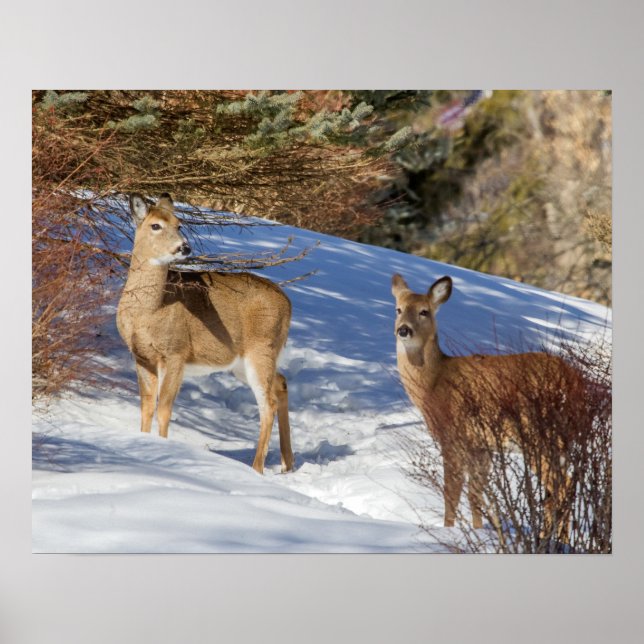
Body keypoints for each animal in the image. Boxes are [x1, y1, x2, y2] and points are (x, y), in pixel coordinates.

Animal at [116, 193, 294, 475]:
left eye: (179, 224)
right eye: (155, 225)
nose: (184, 247)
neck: (150, 311)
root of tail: (288, 303)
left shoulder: (176, 353)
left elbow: (164, 409)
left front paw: (165, 449)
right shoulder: (142, 356)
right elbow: (146, 407)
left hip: (261, 349)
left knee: (268, 404)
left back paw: (256, 469)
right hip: (244, 363)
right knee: (281, 383)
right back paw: (288, 463)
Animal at [391, 273, 584, 542]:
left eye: (424, 312)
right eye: (398, 309)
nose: (403, 330)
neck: (432, 386)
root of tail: (575, 382)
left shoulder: (453, 437)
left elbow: (451, 495)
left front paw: (449, 533)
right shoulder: (481, 447)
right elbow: (475, 495)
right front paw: (481, 533)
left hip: (539, 435)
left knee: (562, 486)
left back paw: (552, 540)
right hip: (561, 441)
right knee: (558, 489)